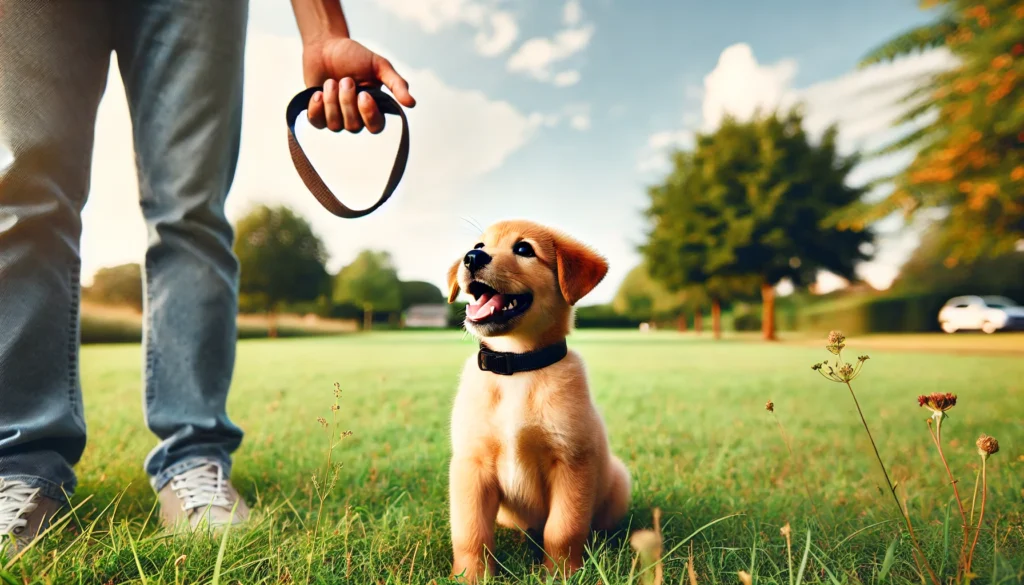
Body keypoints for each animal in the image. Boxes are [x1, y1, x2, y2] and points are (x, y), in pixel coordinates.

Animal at [444, 218, 626, 581]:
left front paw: (562, 574)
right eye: (480, 245)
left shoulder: (571, 462)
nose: (471, 257)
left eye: (524, 249)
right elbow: (470, 532)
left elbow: (563, 529)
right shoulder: (471, 465)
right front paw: (471, 577)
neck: (516, 366)